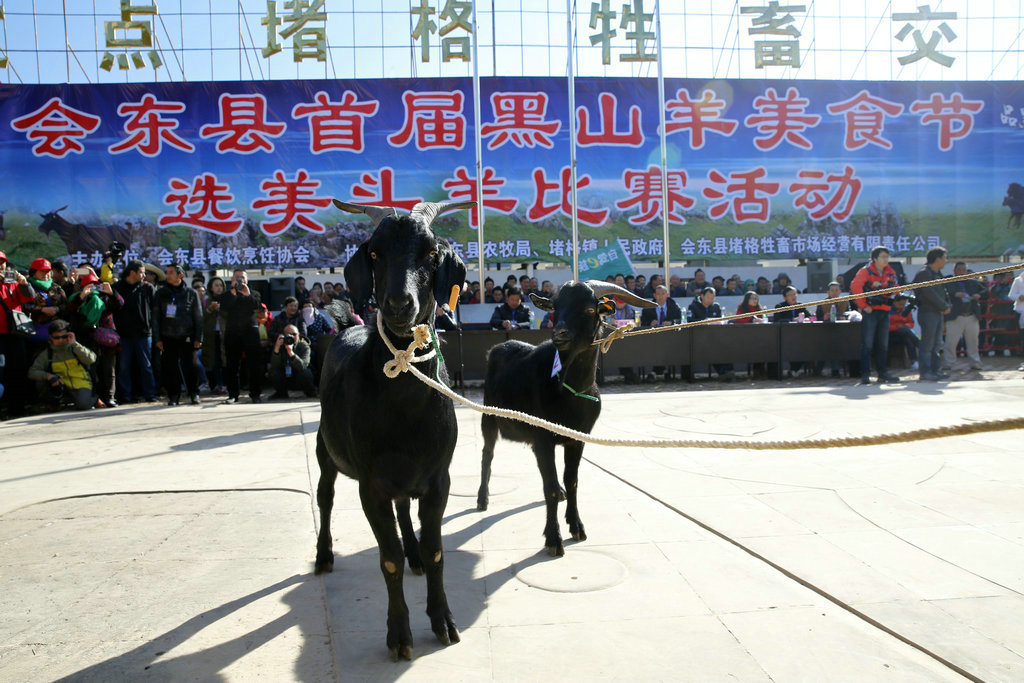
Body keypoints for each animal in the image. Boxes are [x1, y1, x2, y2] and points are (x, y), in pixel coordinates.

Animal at [315, 197, 471, 663]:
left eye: (432, 254)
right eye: (374, 253)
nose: (399, 304)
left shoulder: (438, 478)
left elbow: (437, 551)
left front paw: (443, 622)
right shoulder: (372, 485)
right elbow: (387, 560)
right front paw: (399, 636)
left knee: (406, 510)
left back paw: (413, 552)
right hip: (325, 449)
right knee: (325, 497)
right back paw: (323, 555)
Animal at [473, 282, 651, 557]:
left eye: (590, 308)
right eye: (556, 307)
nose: (560, 333)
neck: (570, 389)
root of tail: (499, 347)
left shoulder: (577, 439)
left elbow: (571, 480)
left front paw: (577, 527)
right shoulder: (543, 438)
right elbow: (550, 487)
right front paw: (553, 539)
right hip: (489, 417)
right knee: (487, 455)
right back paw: (482, 499)